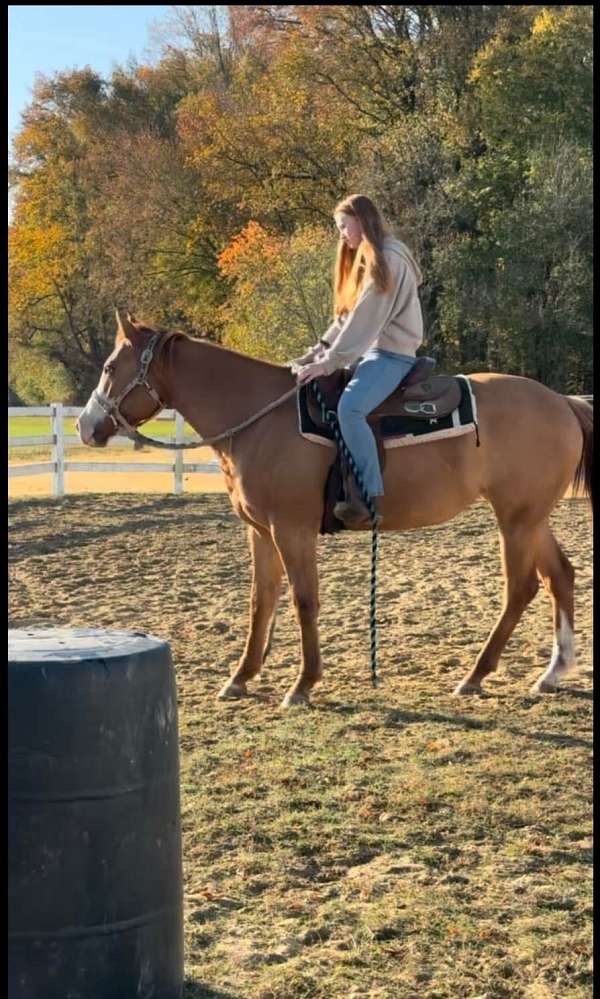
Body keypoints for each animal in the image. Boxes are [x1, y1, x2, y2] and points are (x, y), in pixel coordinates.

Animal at [77, 312, 592, 712]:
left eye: (109, 366)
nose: (85, 425)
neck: (259, 418)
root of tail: (562, 401)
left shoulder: (292, 530)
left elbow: (304, 600)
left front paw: (302, 685)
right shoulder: (260, 532)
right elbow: (261, 601)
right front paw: (240, 678)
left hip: (516, 519)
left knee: (521, 587)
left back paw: (476, 674)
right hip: (532, 518)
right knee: (560, 576)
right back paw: (552, 671)